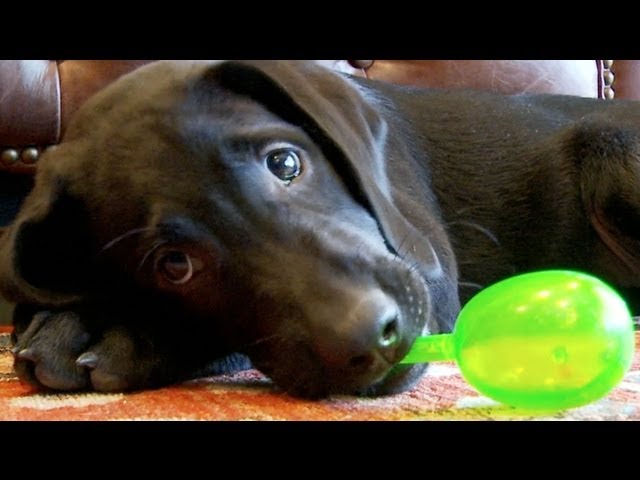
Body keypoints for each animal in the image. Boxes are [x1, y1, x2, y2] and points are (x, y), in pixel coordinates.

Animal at [1, 60, 640, 398]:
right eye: (174, 266)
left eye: (286, 163)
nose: (371, 339)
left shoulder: (427, 270)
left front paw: (107, 333)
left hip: (612, 146)